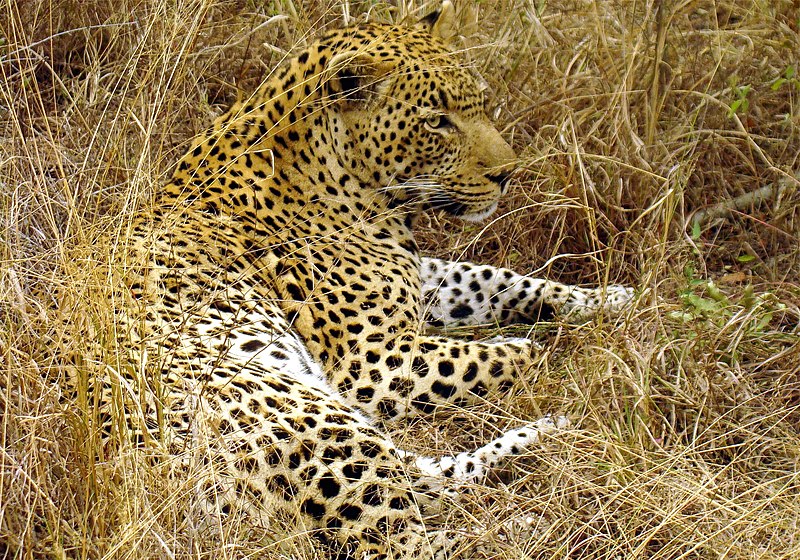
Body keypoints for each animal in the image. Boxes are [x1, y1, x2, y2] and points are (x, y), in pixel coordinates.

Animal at [103, 2, 636, 556]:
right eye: (436, 122)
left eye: (483, 105)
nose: (507, 174)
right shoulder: (372, 362)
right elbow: (507, 353)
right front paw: (556, 347)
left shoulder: (419, 276)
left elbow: (493, 279)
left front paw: (608, 298)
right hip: (316, 422)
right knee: (406, 539)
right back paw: (524, 528)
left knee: (430, 479)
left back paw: (543, 437)